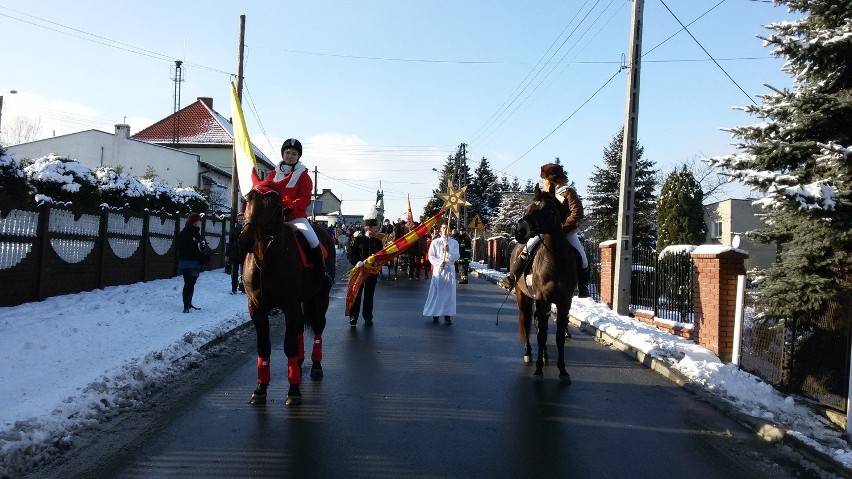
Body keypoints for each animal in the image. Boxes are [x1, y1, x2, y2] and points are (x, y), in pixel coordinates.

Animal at [240, 184, 336, 404]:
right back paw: (298, 364)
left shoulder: (290, 304)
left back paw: (315, 366)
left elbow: (289, 345)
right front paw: (260, 388)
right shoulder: (256, 306)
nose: (246, 239)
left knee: (318, 327)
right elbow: (263, 345)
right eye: (248, 199)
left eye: (273, 205)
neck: (267, 258)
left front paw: (293, 390)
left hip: (320, 297)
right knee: (299, 326)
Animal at [510, 186, 576, 384]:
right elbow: (540, 335)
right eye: (530, 207)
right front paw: (538, 370)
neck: (556, 259)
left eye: (549, 210)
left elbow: (558, 336)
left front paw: (563, 370)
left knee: (541, 324)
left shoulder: (564, 302)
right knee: (527, 322)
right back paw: (529, 353)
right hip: (523, 297)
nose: (520, 231)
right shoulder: (541, 299)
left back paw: (545, 356)